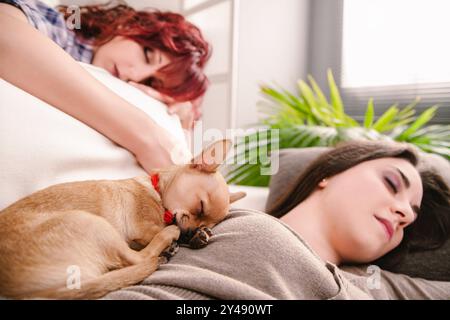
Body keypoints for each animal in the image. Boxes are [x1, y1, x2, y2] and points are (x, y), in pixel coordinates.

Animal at [0, 139, 244, 298]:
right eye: (200, 206)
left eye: (211, 222)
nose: (193, 231)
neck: (155, 189)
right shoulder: (143, 228)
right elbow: (159, 231)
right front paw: (184, 236)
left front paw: (200, 235)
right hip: (92, 223)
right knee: (139, 258)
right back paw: (167, 242)